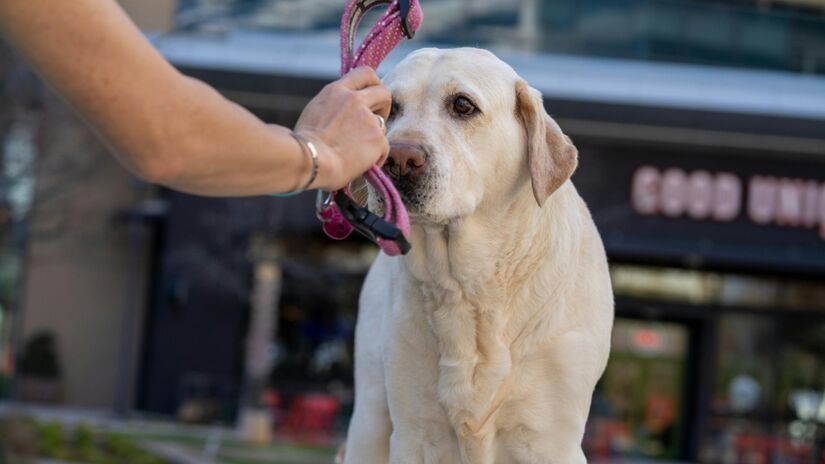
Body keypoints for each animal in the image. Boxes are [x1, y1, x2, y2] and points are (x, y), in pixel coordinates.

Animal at [342, 48, 612, 464]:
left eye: (462, 105)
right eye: (389, 110)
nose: (399, 159)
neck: (467, 287)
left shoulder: (551, 439)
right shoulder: (414, 434)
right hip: (370, 416)